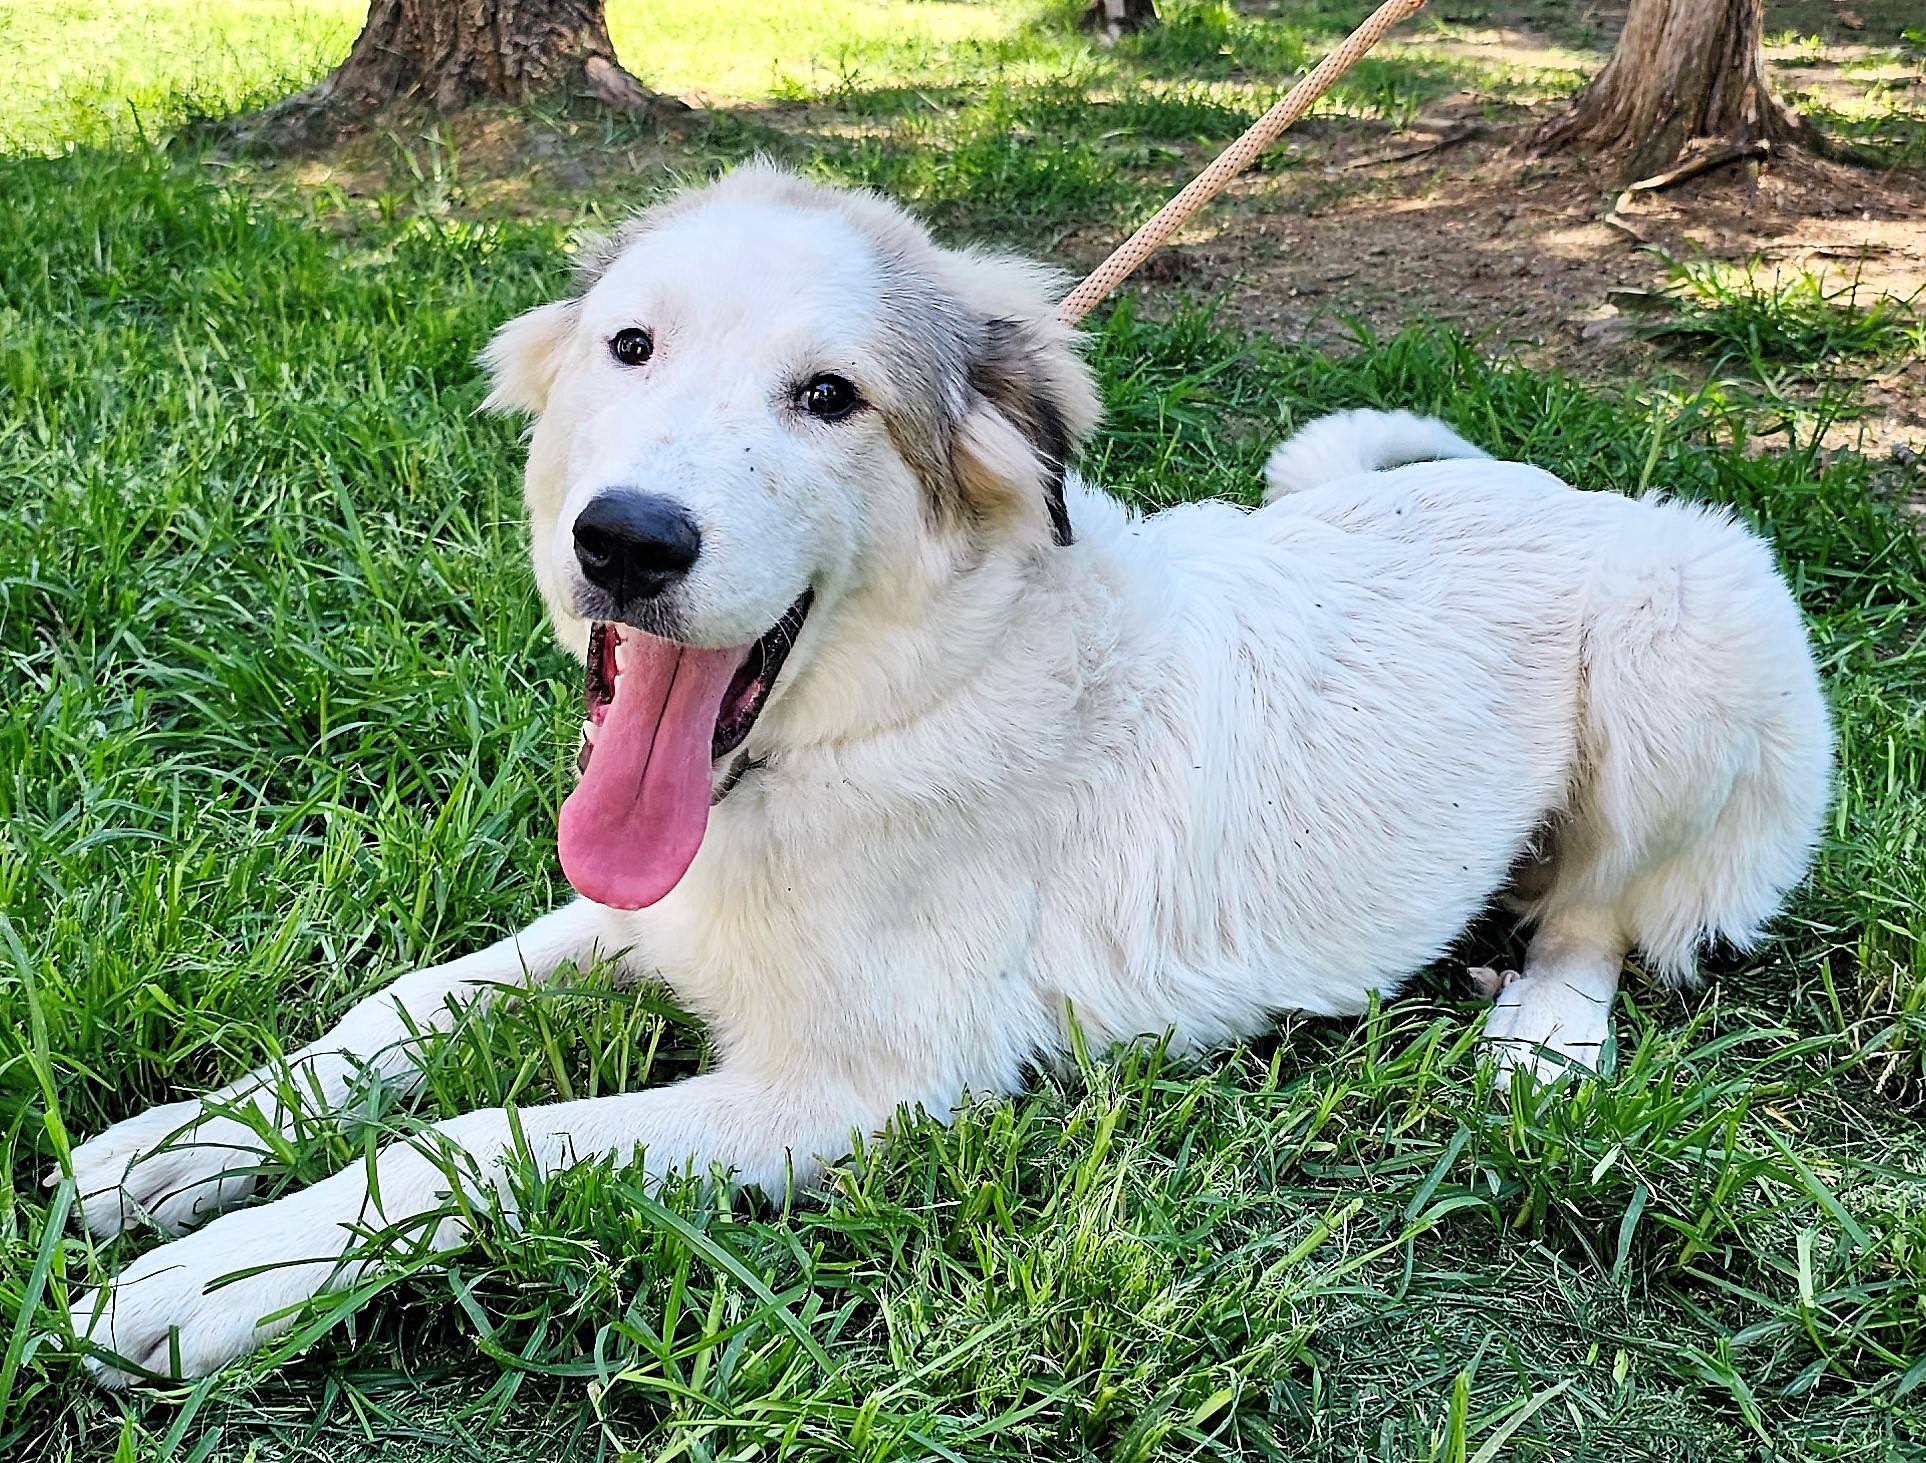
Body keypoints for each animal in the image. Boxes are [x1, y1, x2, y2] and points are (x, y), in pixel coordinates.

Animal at [64, 168, 1833, 1386]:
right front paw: (175, 1147)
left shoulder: (858, 1087)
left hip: (1694, 621)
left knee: (1600, 912)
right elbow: (406, 1006)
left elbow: (484, 1133)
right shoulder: (644, 908)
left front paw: (212, 1281)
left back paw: (1542, 1035)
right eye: (632, 346)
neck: (872, 723)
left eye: (828, 397)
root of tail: (1557, 483)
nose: (624, 542)